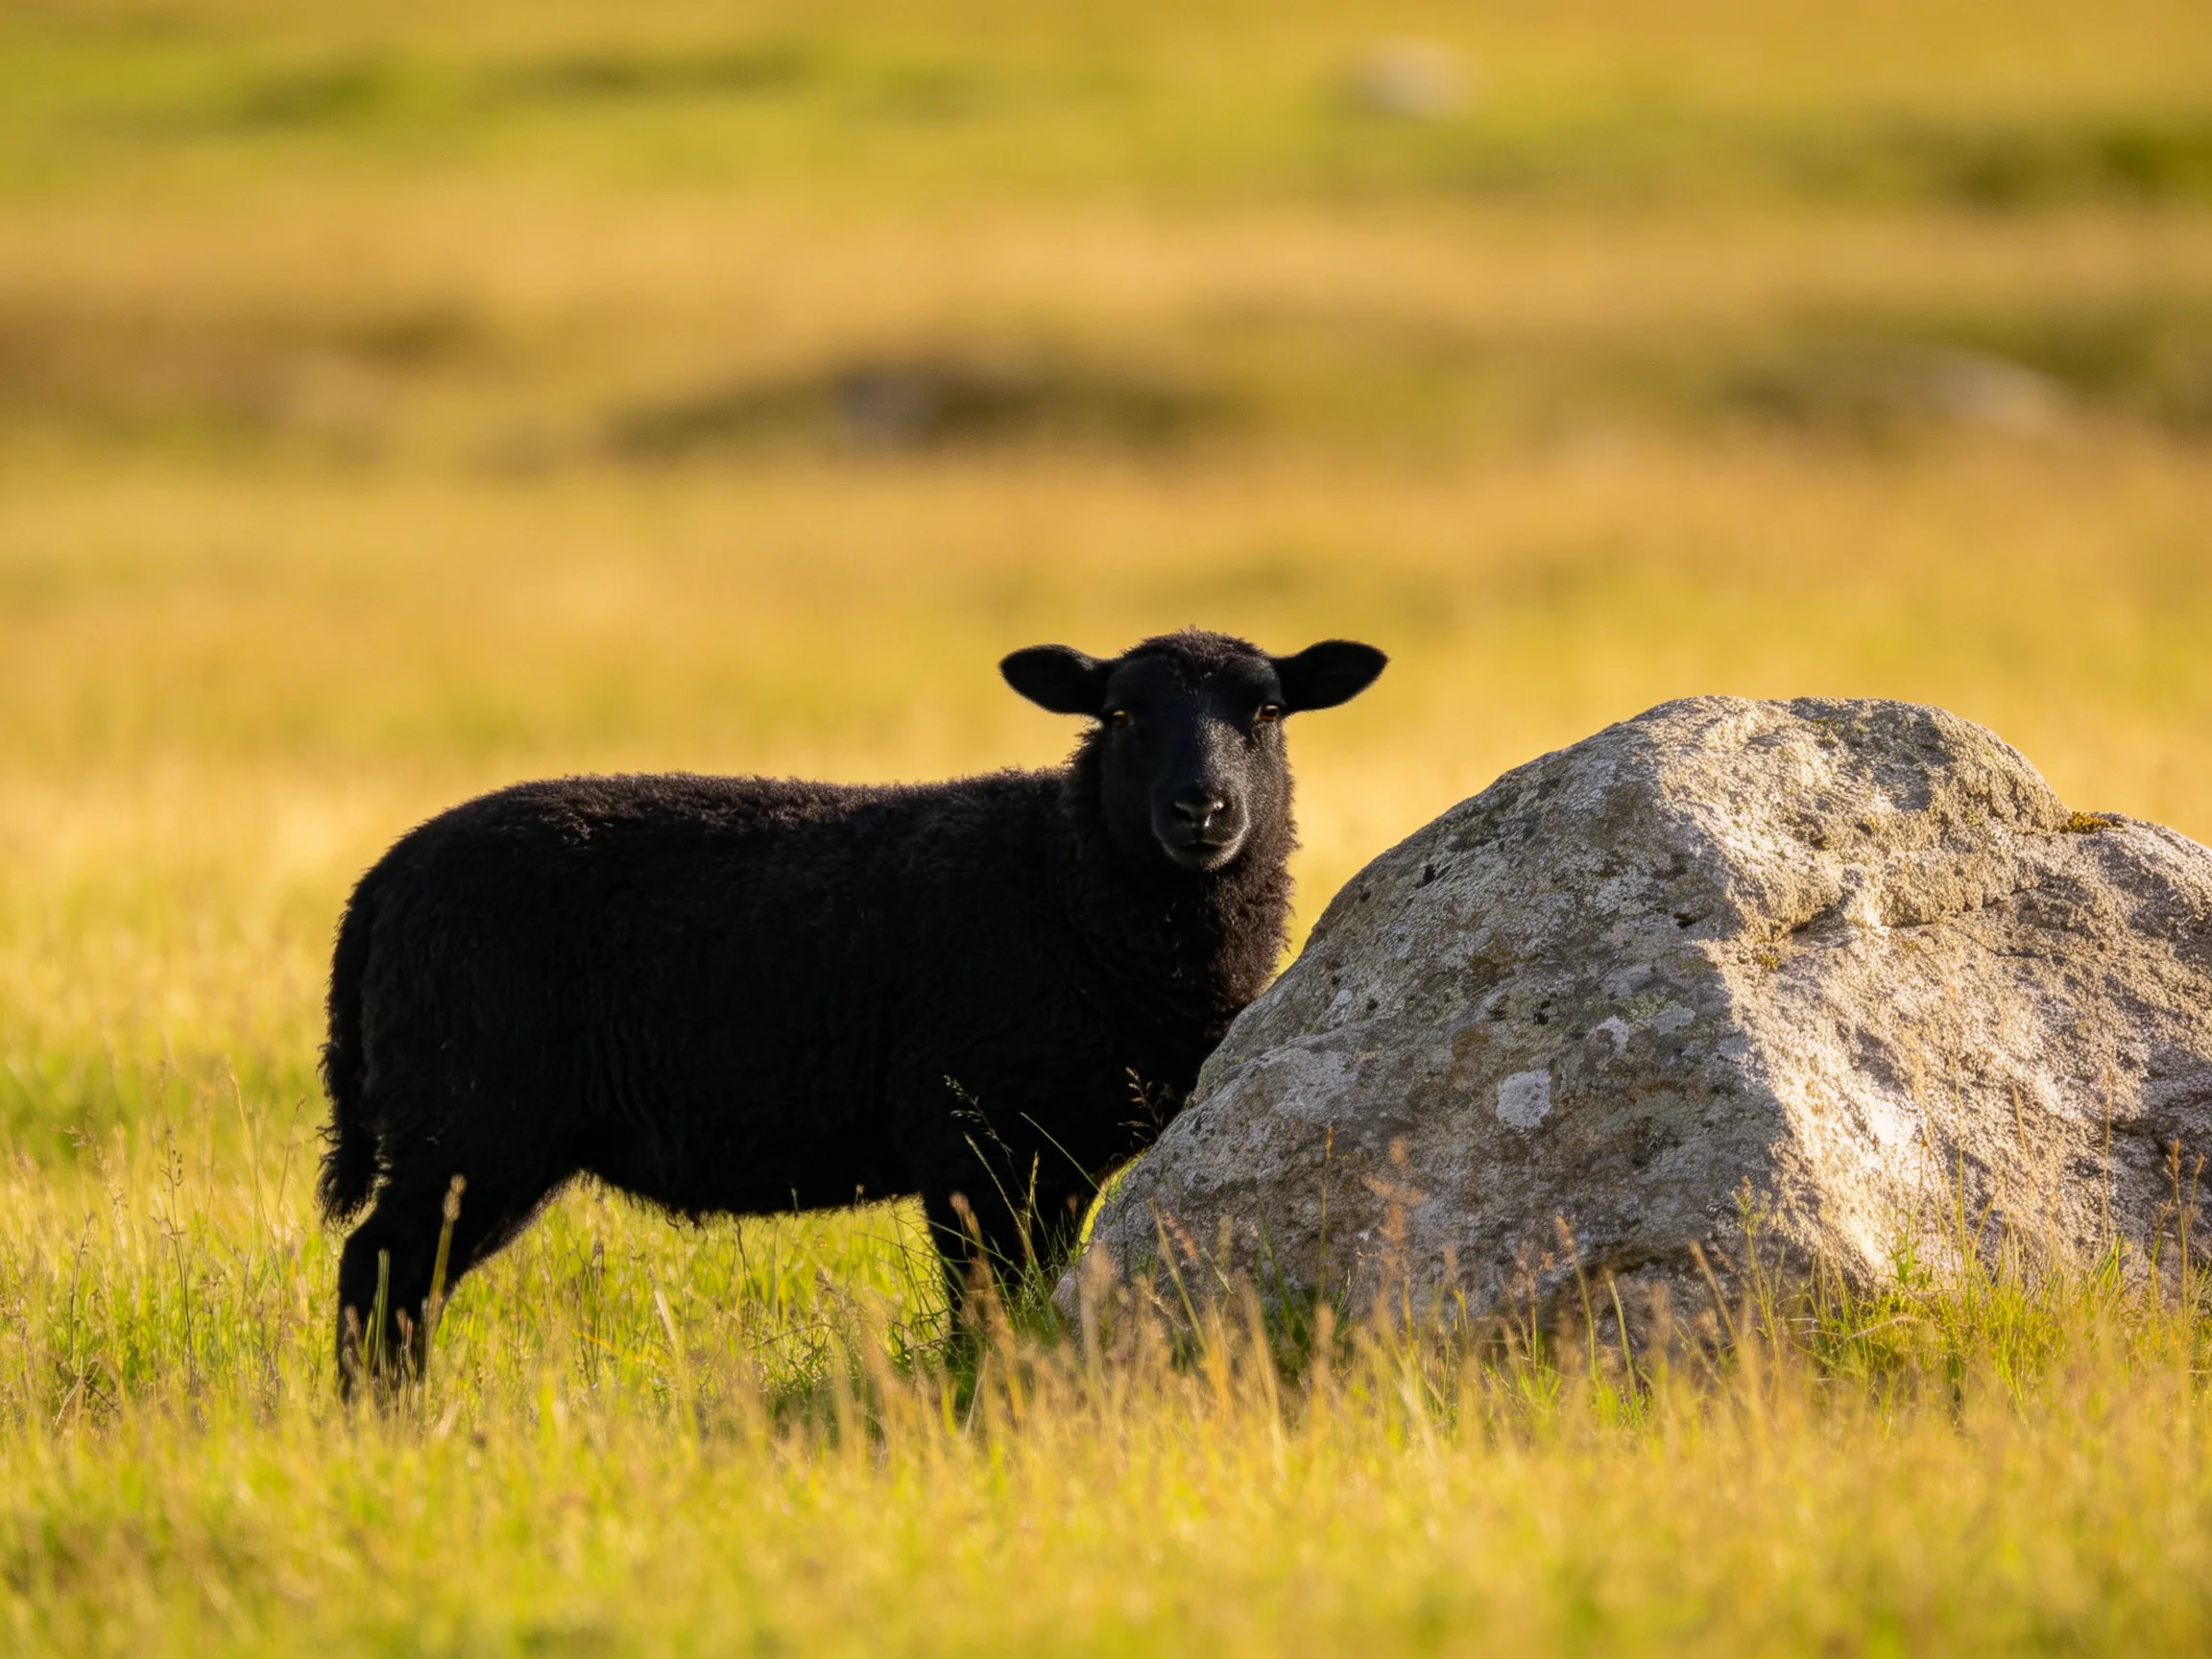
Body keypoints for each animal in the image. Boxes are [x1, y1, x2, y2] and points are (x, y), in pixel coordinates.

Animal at [319, 628, 1386, 1383]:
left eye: (1269, 711)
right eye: (1122, 716)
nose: (1201, 811)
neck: (1063, 880)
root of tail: (380, 883)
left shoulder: (1062, 1159)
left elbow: (1031, 1292)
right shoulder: (967, 1142)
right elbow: (983, 1303)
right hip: (476, 1116)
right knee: (381, 1268)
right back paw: (390, 1427)